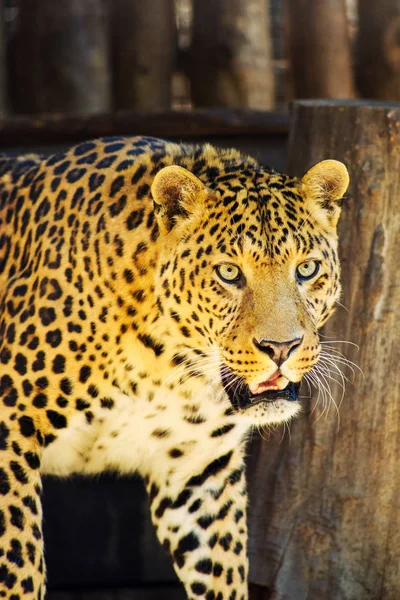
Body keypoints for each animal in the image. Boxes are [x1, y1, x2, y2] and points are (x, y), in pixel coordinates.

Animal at [0, 137, 348, 600]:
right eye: (229, 272)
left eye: (306, 269)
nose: (281, 347)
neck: (168, 368)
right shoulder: (9, 435)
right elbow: (19, 565)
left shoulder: (199, 471)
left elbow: (224, 577)